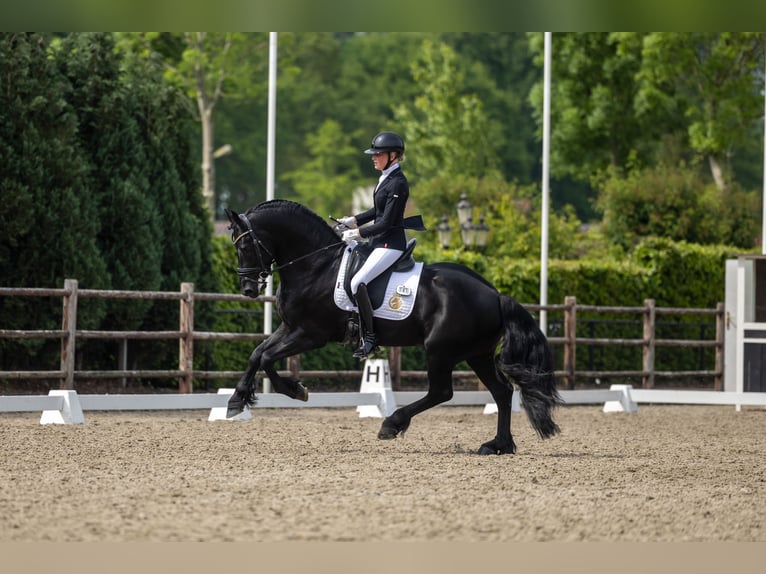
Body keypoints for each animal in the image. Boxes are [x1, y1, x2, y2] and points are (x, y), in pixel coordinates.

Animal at [225, 200, 560, 456]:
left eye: (246, 244)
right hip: (477, 353)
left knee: (442, 391)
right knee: (502, 392)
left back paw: (392, 423)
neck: (317, 266)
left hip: (440, 350)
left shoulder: (310, 334)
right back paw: (498, 445)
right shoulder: (290, 327)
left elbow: (268, 359)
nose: (248, 289)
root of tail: (494, 294)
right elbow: (257, 354)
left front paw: (295, 390)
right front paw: (236, 400)